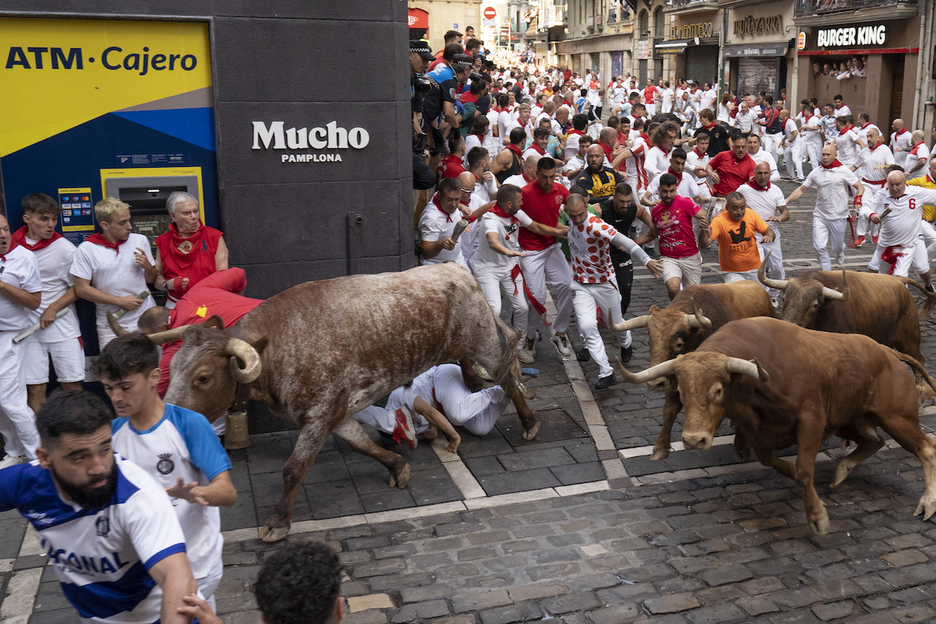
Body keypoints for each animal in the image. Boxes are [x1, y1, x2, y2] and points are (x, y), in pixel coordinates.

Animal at [608, 280, 776, 460]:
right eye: (648, 341)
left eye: (679, 343)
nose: (655, 383)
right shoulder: (674, 375)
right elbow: (669, 409)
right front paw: (660, 448)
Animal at [616, 320, 936, 532]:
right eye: (681, 392)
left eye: (718, 390)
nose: (695, 440)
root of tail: (889, 354)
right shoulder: (756, 430)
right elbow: (772, 461)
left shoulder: (812, 420)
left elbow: (805, 470)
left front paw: (817, 517)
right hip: (852, 418)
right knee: (874, 440)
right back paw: (843, 470)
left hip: (896, 417)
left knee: (926, 449)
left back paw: (927, 503)